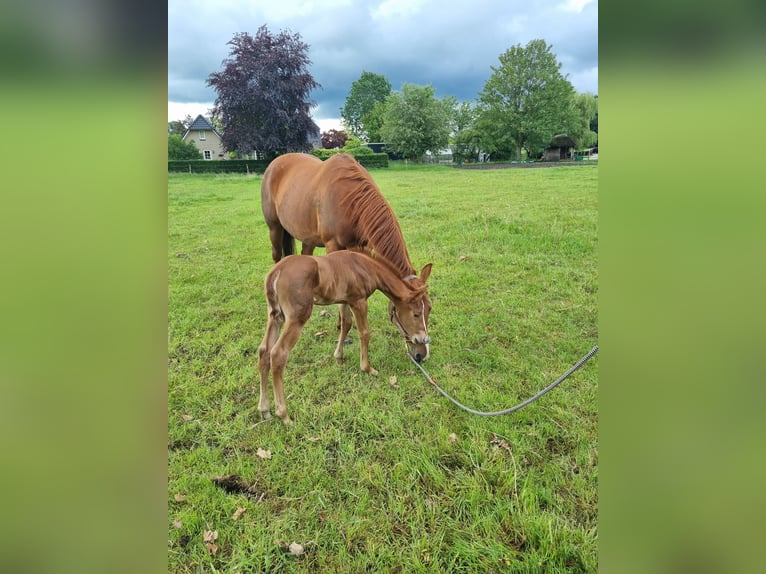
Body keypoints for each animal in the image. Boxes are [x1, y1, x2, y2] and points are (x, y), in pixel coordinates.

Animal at [257, 250, 432, 425]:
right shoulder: (359, 301)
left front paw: (339, 357)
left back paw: (264, 410)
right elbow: (364, 332)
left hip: (276, 316)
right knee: (278, 353)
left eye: (429, 308)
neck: (365, 266)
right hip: (297, 318)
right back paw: (284, 415)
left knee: (264, 351)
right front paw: (367, 368)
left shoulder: (344, 301)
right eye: (416, 314)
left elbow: (346, 324)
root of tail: (276, 271)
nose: (423, 340)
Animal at [260, 152, 433, 355]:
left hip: (307, 239)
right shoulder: (332, 245)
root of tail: (275, 163)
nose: (422, 354)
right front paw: (342, 329)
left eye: (429, 309)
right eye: (415, 314)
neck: (350, 199)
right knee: (276, 257)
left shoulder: (356, 247)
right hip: (274, 229)